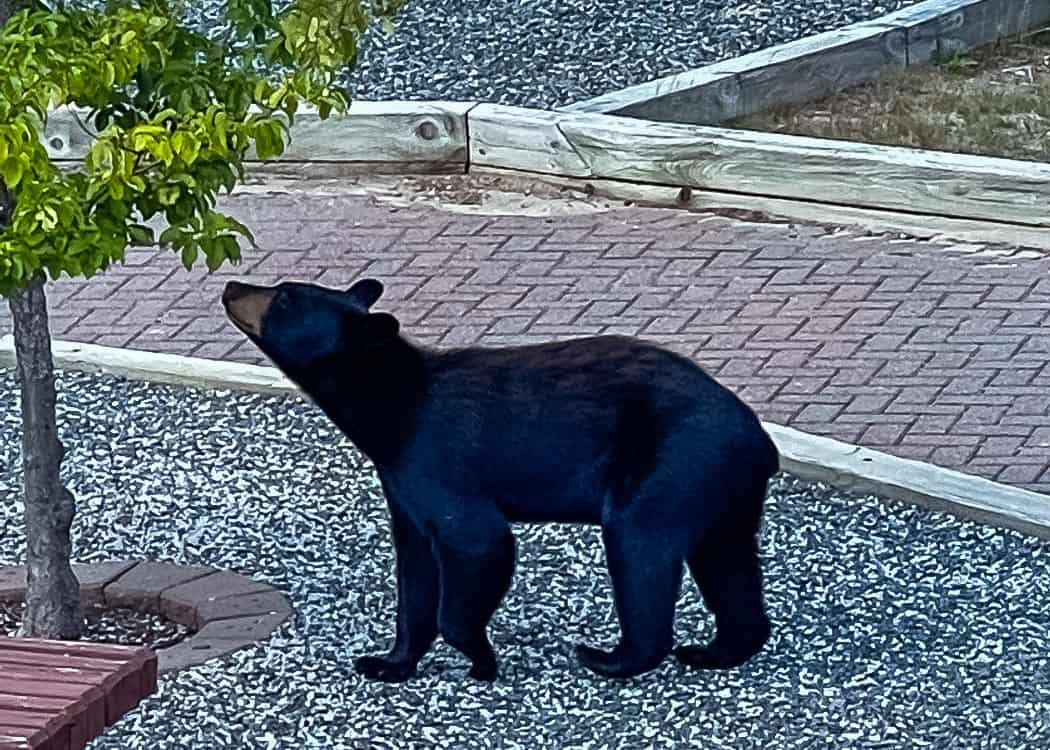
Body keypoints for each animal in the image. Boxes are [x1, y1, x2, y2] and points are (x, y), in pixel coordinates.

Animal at [222, 277, 779, 683]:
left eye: (284, 297)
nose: (231, 285)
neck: (394, 413)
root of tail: (759, 441)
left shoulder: (436, 462)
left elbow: (478, 543)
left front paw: (480, 657)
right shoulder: (402, 487)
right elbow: (415, 571)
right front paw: (387, 662)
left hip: (671, 465)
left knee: (640, 547)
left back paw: (610, 657)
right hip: (717, 488)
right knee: (726, 561)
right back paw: (718, 650)